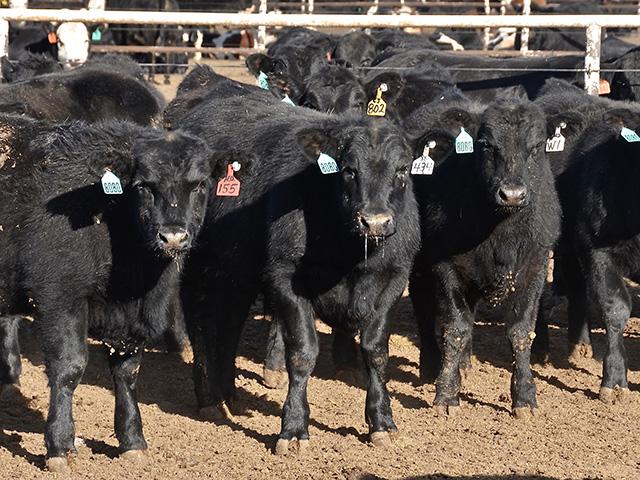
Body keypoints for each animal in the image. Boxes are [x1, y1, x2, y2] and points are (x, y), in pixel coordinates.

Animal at [0, 114, 234, 472]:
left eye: (200, 185)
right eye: (143, 186)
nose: (173, 237)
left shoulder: (131, 318)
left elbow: (127, 370)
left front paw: (132, 440)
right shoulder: (59, 298)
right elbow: (69, 368)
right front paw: (60, 446)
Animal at [177, 91, 420, 452]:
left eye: (402, 170)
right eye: (348, 170)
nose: (374, 221)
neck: (349, 255)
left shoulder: (393, 279)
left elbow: (376, 351)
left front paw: (382, 423)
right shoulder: (286, 278)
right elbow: (303, 353)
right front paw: (293, 429)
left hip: (237, 274)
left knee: (230, 327)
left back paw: (229, 394)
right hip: (197, 264)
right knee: (200, 325)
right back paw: (209, 399)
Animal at [406, 96, 561, 418]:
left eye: (537, 146)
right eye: (486, 145)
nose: (512, 194)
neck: (501, 233)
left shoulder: (536, 266)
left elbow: (521, 333)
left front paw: (524, 397)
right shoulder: (445, 266)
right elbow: (455, 329)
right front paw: (446, 394)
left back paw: (465, 363)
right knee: (423, 305)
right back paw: (431, 366)